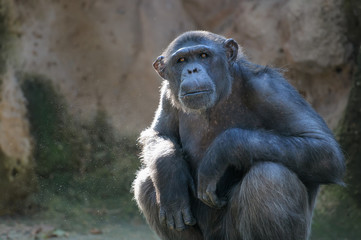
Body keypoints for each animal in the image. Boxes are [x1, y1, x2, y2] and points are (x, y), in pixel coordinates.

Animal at [131, 31, 344, 240]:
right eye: (181, 60)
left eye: (203, 55)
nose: (192, 70)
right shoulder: (167, 95)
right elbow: (158, 134)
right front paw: (171, 176)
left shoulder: (270, 88)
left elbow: (323, 147)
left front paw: (219, 153)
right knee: (146, 182)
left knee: (270, 176)